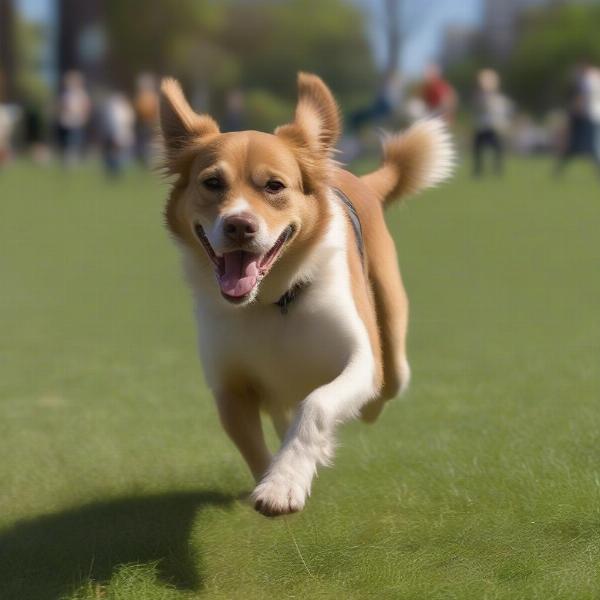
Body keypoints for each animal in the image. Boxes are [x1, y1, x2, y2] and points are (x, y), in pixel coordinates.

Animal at [158, 74, 450, 516]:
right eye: (212, 183)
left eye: (274, 185)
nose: (239, 225)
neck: (273, 302)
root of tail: (356, 179)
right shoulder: (229, 386)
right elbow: (253, 444)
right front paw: (275, 479)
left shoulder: (361, 359)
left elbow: (318, 404)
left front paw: (284, 483)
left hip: (391, 334)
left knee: (387, 383)